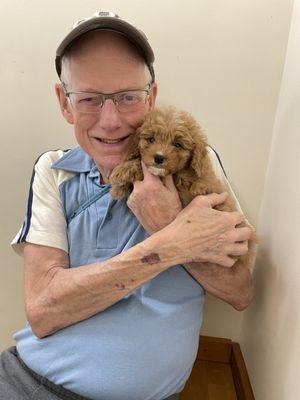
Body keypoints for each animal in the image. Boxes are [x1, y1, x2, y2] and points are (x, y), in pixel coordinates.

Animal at [110, 104, 255, 270]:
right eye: (151, 139)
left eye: (177, 145)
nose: (158, 158)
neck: (185, 168)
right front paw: (119, 187)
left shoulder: (183, 182)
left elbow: (145, 168)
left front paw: (121, 173)